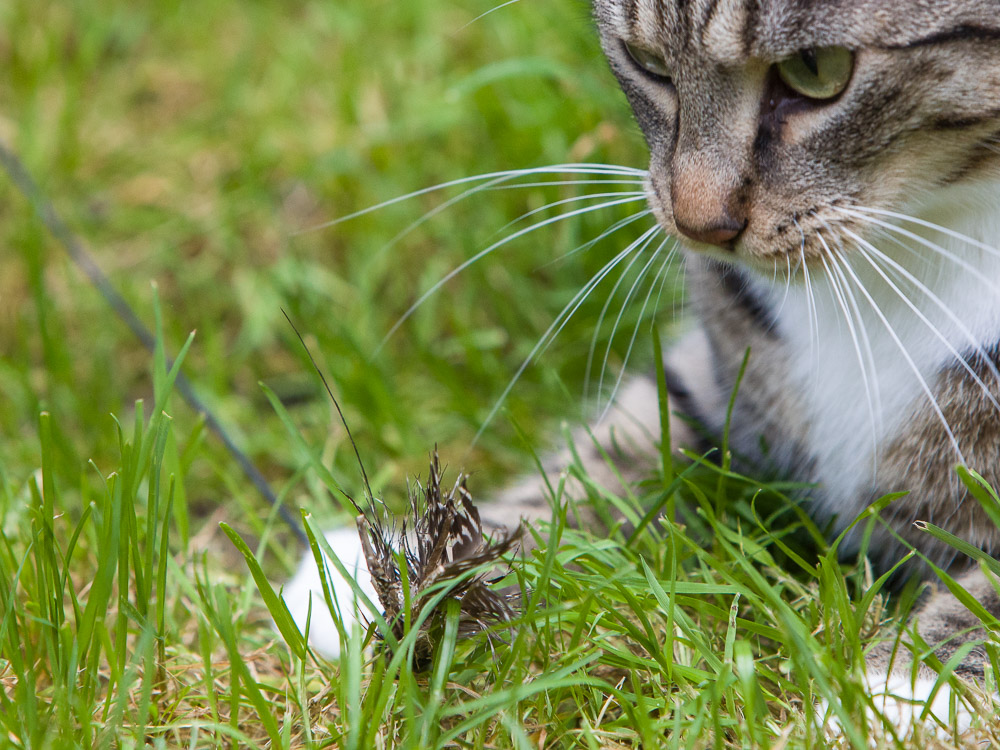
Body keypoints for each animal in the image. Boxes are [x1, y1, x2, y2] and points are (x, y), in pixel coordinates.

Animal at [284, 0, 1000, 736]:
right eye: (646, 62)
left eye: (816, 69)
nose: (698, 225)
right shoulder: (719, 372)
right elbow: (614, 450)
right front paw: (404, 567)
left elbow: (981, 602)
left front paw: (899, 698)